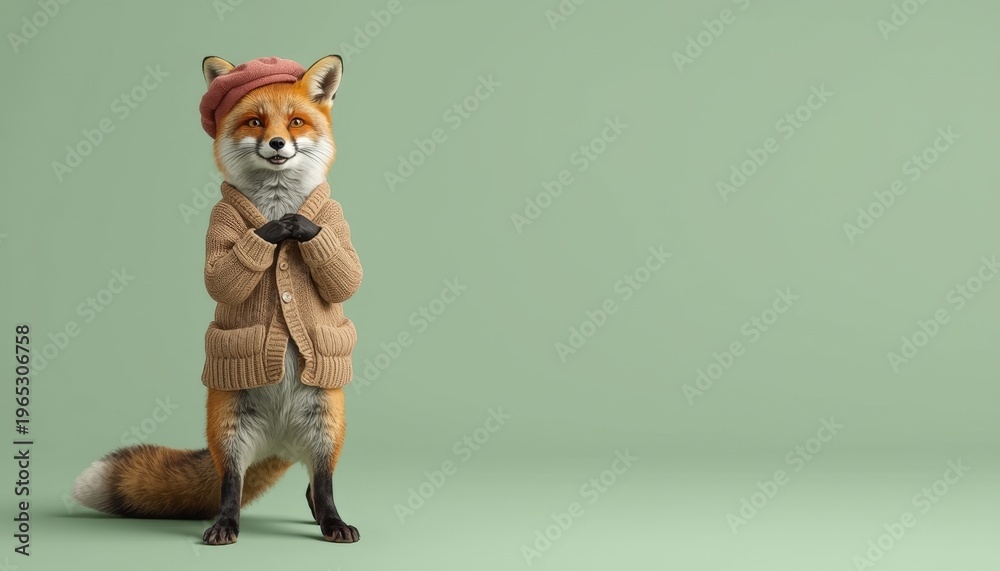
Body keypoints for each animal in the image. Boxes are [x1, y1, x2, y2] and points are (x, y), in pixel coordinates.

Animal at [72, 55, 363, 545]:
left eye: (296, 122)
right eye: (255, 122)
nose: (278, 143)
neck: (278, 199)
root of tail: (280, 441)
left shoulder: (337, 223)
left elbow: (348, 276)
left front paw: (301, 227)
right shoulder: (217, 225)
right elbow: (222, 277)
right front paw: (274, 230)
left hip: (327, 427)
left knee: (320, 485)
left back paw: (332, 522)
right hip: (230, 433)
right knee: (232, 487)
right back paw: (225, 525)